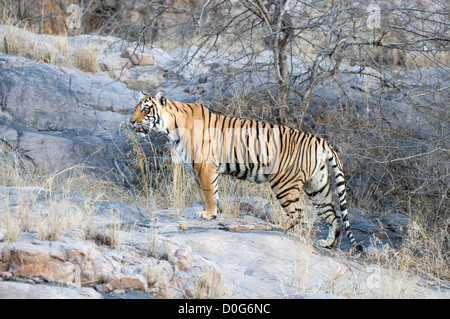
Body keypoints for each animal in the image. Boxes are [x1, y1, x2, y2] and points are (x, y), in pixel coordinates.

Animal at [129, 91, 362, 251]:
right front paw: (207, 212)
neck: (171, 128)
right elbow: (206, 194)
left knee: (298, 212)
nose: (131, 122)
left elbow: (209, 193)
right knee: (334, 216)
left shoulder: (204, 166)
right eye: (137, 108)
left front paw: (209, 214)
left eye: (146, 109)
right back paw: (327, 243)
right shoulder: (196, 170)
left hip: (284, 183)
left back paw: (277, 227)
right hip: (317, 186)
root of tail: (321, 141)